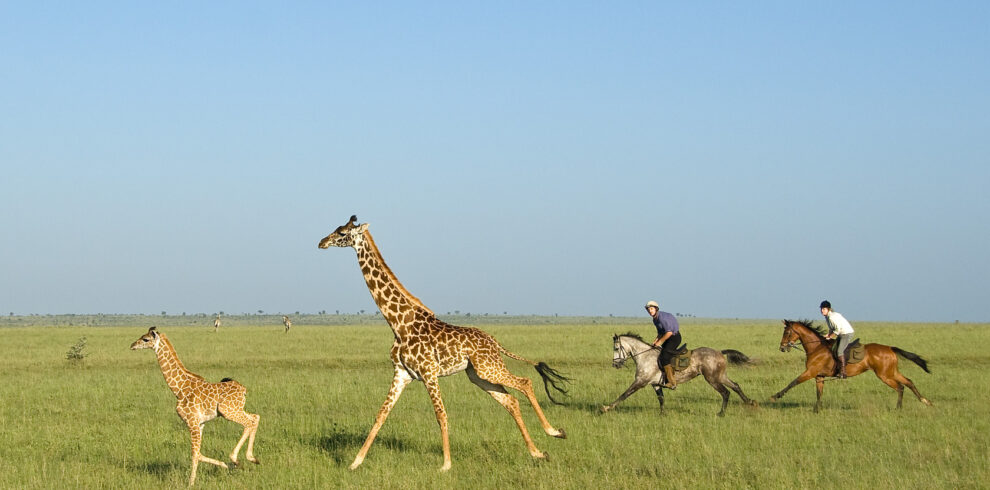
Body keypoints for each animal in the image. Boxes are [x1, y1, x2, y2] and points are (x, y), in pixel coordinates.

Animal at [130, 327, 260, 486]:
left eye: (146, 339)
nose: (132, 345)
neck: (178, 389)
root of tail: (243, 390)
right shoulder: (200, 423)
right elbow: (198, 453)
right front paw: (224, 465)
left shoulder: (191, 421)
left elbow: (194, 453)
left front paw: (190, 483)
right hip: (236, 409)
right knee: (255, 417)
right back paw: (251, 459)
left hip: (227, 411)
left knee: (249, 422)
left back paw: (236, 459)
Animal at [318, 215, 569, 472]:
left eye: (342, 233)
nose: (322, 242)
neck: (399, 323)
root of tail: (495, 342)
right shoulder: (401, 374)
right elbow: (381, 414)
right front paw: (355, 462)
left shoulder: (429, 372)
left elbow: (441, 414)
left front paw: (446, 464)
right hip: (477, 375)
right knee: (511, 400)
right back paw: (537, 452)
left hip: (488, 368)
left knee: (525, 383)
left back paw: (554, 432)